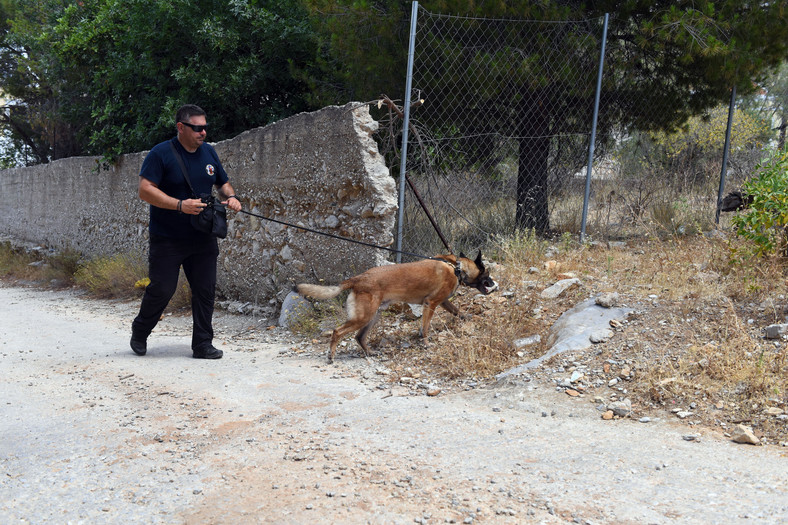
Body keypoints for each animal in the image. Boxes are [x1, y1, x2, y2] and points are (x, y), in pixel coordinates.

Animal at [296, 252, 498, 362]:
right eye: (487, 273)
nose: (495, 284)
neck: (456, 267)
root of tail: (358, 278)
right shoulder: (431, 303)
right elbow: (425, 328)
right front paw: (426, 343)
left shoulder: (442, 302)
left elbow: (458, 312)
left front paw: (470, 318)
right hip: (364, 317)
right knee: (338, 331)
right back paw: (331, 356)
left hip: (373, 316)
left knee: (359, 337)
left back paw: (370, 352)